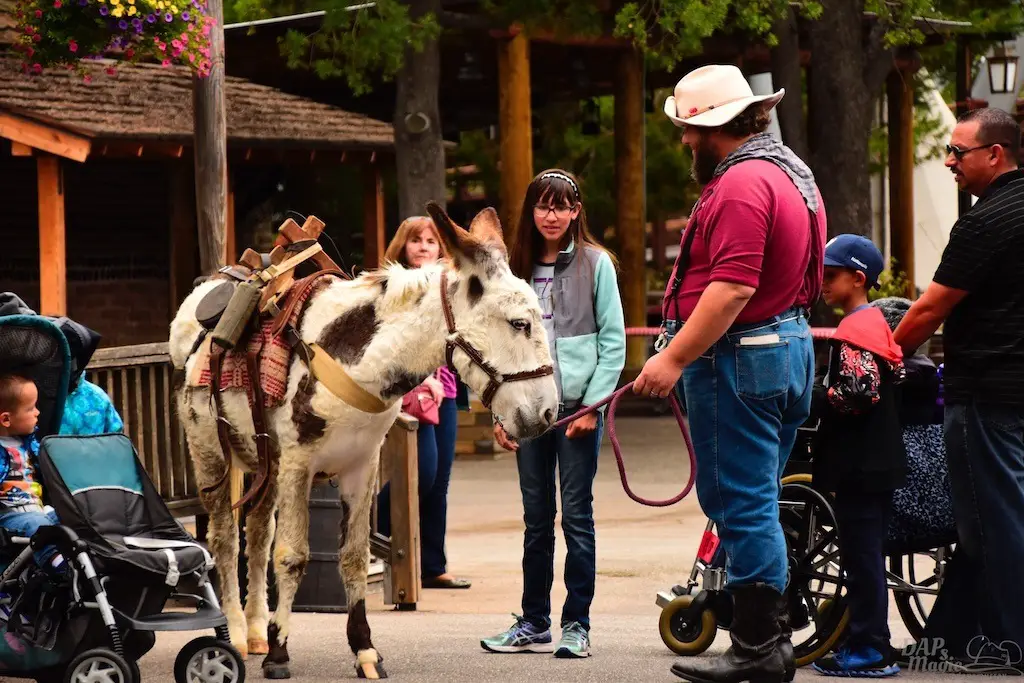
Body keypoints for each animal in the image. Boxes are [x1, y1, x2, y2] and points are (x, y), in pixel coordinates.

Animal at [168, 203, 559, 679]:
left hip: (266, 464)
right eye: (519, 323)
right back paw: (239, 634)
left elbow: (352, 557)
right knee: (226, 539)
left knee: (257, 535)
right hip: (212, 455)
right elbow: (292, 556)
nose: (548, 414)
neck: (357, 360)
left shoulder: (361, 466)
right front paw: (281, 655)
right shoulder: (299, 464)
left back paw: (258, 630)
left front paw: (365, 651)